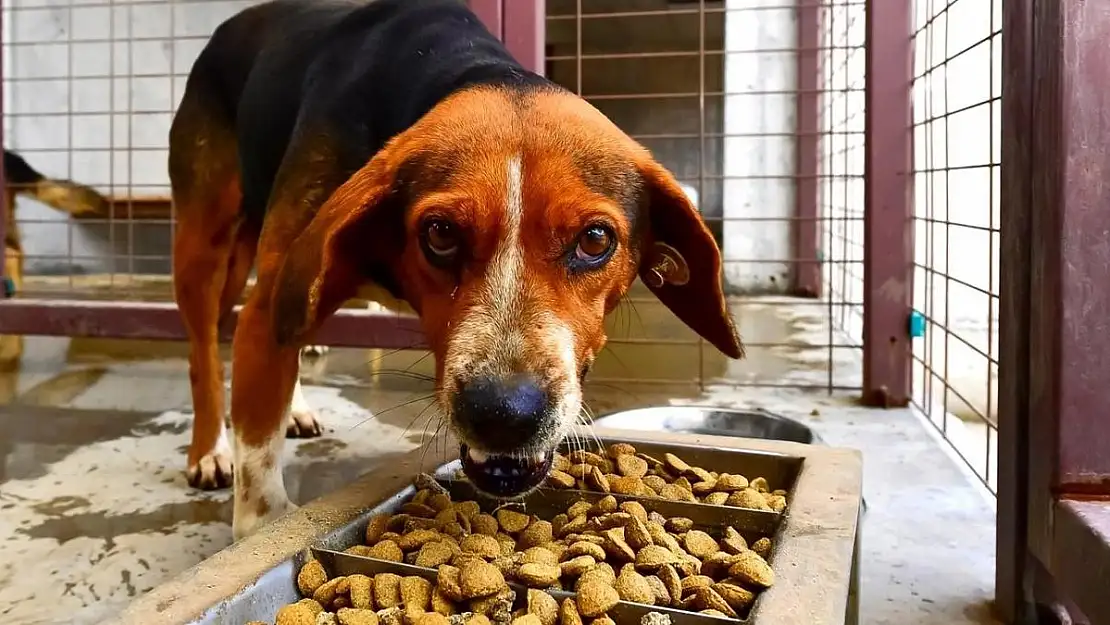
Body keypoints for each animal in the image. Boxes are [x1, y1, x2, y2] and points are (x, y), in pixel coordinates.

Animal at [170, 0, 745, 539]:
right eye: (440, 233)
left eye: (596, 240)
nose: (505, 414)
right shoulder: (272, 306)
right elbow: (259, 489)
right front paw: (260, 521)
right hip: (206, 248)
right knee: (203, 351)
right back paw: (209, 451)